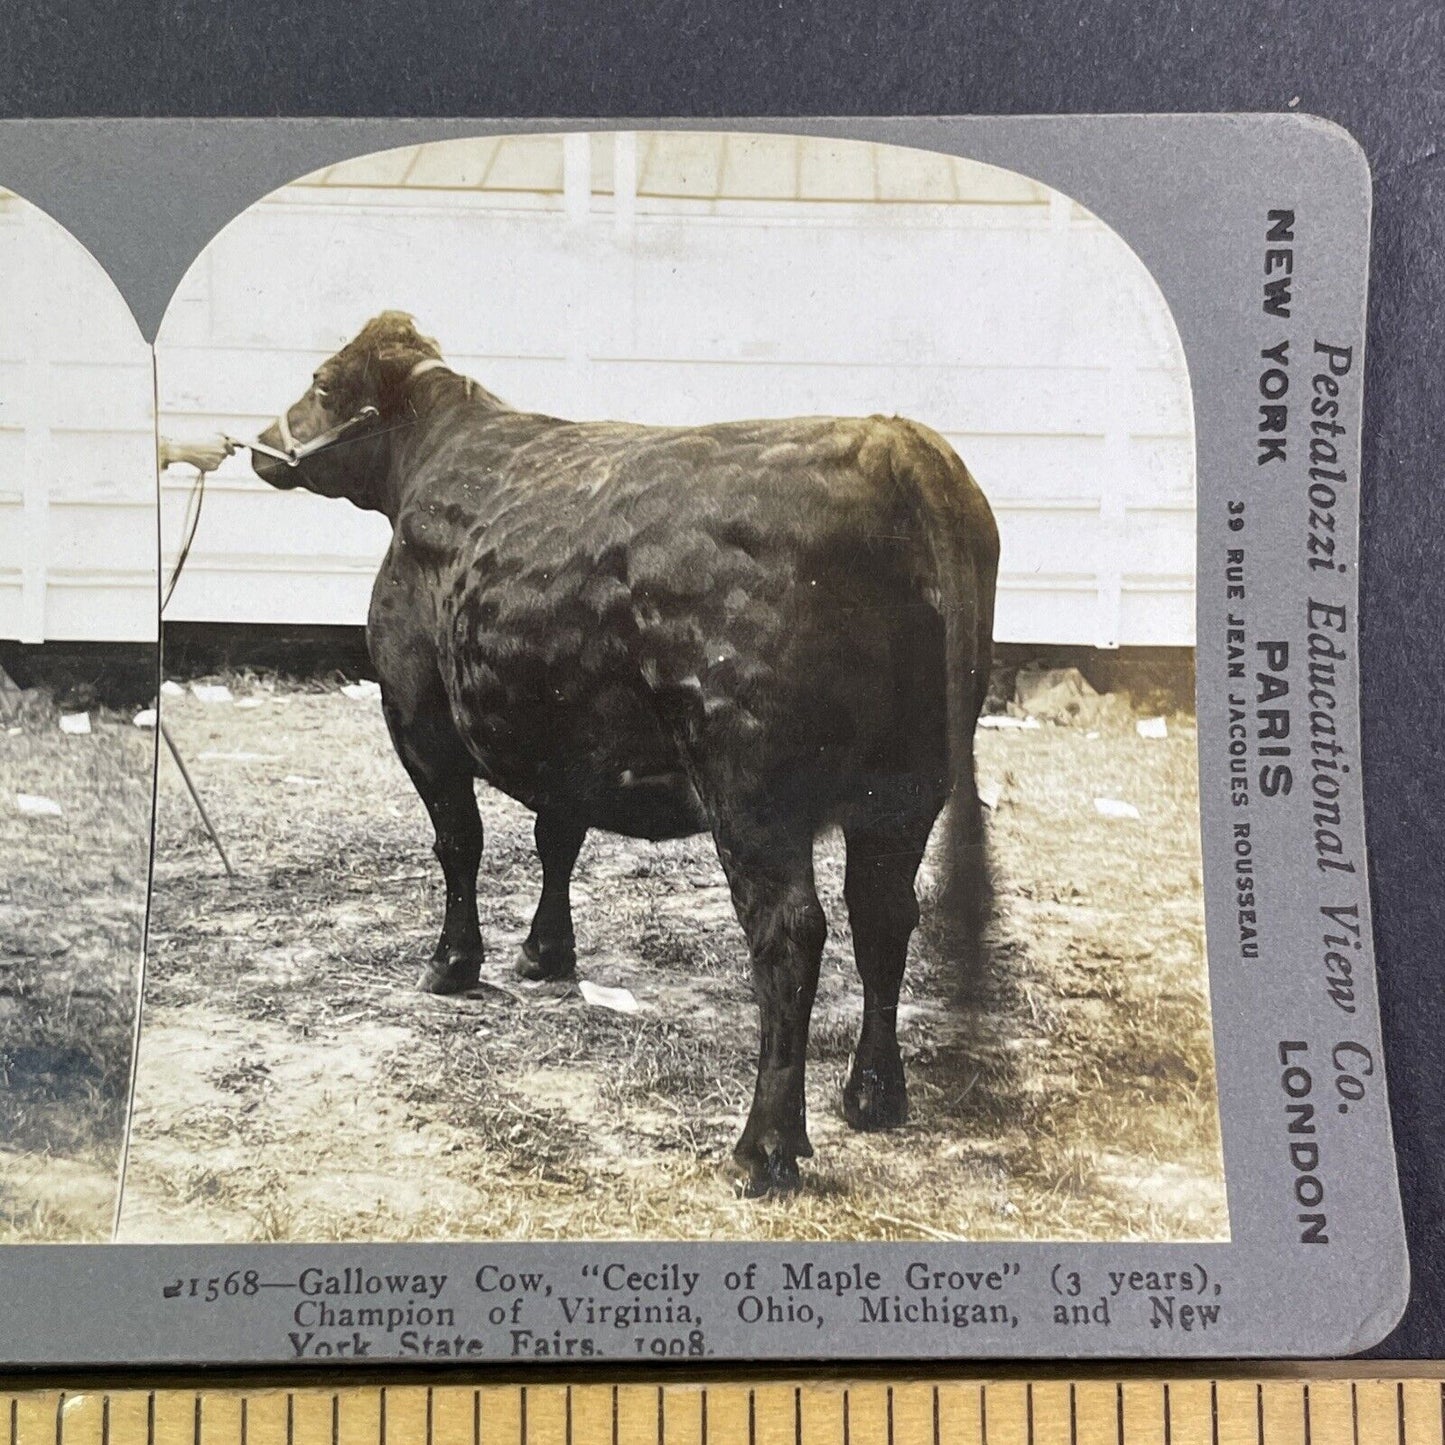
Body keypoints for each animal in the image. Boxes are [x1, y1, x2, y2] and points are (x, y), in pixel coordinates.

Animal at [254, 310, 999, 1190]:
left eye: (322, 382)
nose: (260, 442)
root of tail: (894, 442)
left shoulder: (417, 719)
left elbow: (459, 844)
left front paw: (452, 963)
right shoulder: (563, 742)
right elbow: (557, 836)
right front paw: (545, 954)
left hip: (751, 790)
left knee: (789, 933)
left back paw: (764, 1147)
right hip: (909, 785)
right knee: (883, 913)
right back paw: (873, 1095)